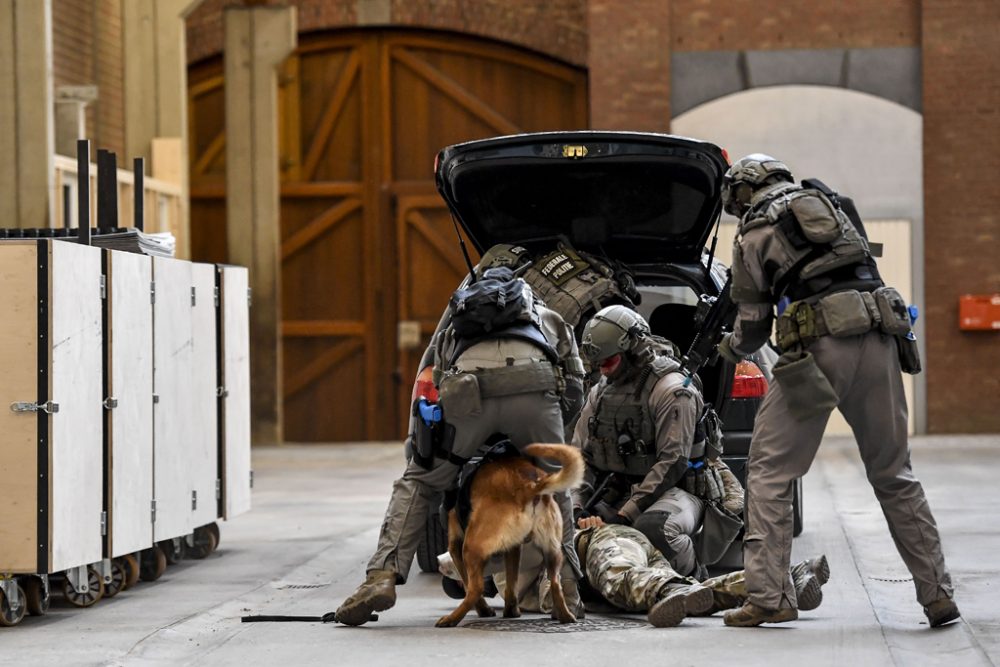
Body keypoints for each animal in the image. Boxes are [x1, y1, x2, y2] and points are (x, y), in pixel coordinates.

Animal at [438, 444, 584, 628]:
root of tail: (530, 486)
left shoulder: (455, 547)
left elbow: (465, 581)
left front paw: (484, 610)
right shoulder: (514, 547)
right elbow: (512, 581)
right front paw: (511, 610)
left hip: (471, 548)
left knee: (475, 588)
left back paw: (451, 619)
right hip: (554, 550)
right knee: (556, 583)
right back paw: (565, 616)